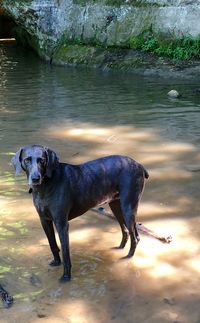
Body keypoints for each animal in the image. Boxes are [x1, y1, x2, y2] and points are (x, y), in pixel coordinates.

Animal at [11, 146, 148, 282]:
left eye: (42, 160)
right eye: (27, 160)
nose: (35, 178)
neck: (45, 186)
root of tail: (139, 165)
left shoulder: (62, 224)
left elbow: (65, 253)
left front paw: (66, 276)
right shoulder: (44, 220)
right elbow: (52, 244)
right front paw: (56, 262)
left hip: (127, 207)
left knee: (134, 237)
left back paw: (128, 257)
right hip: (116, 207)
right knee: (128, 232)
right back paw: (120, 248)